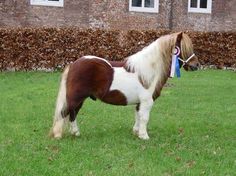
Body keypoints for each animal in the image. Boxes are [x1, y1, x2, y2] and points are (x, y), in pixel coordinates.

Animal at [50, 32, 200, 140]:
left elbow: (138, 116)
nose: (196, 65)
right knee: (66, 112)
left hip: (79, 99)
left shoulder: (140, 102)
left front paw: (136, 132)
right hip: (76, 98)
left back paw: (75, 133)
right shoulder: (147, 101)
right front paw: (144, 136)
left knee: (73, 113)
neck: (148, 69)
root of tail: (73, 64)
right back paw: (59, 135)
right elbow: (145, 117)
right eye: (184, 48)